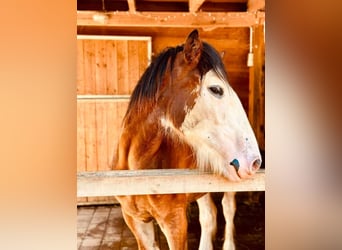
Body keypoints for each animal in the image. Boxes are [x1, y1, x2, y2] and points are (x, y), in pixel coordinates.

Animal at [113, 29, 260, 250]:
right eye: (216, 89)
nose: (255, 161)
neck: (139, 172)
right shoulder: (136, 221)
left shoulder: (174, 221)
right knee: (209, 217)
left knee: (227, 209)